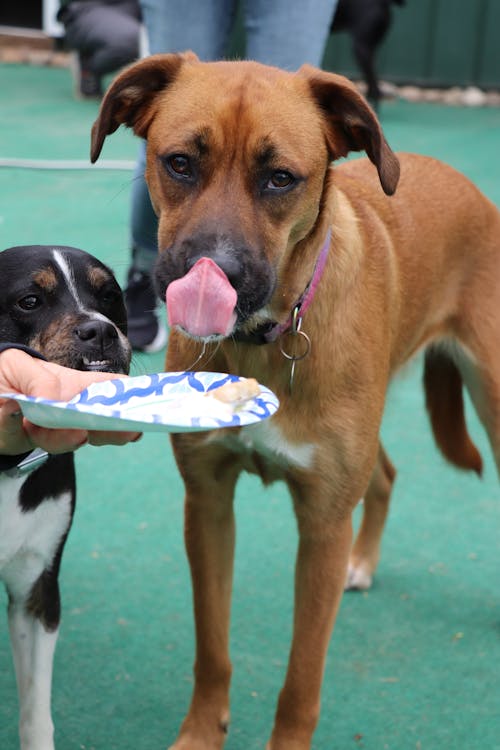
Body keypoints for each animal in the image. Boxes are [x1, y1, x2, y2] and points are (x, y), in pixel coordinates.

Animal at [91, 54, 500, 750]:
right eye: (180, 163)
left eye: (280, 178)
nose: (212, 271)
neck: (265, 341)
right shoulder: (208, 503)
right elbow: (212, 649)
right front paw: (201, 733)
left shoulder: (323, 527)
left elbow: (300, 682)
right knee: (385, 474)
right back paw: (364, 563)